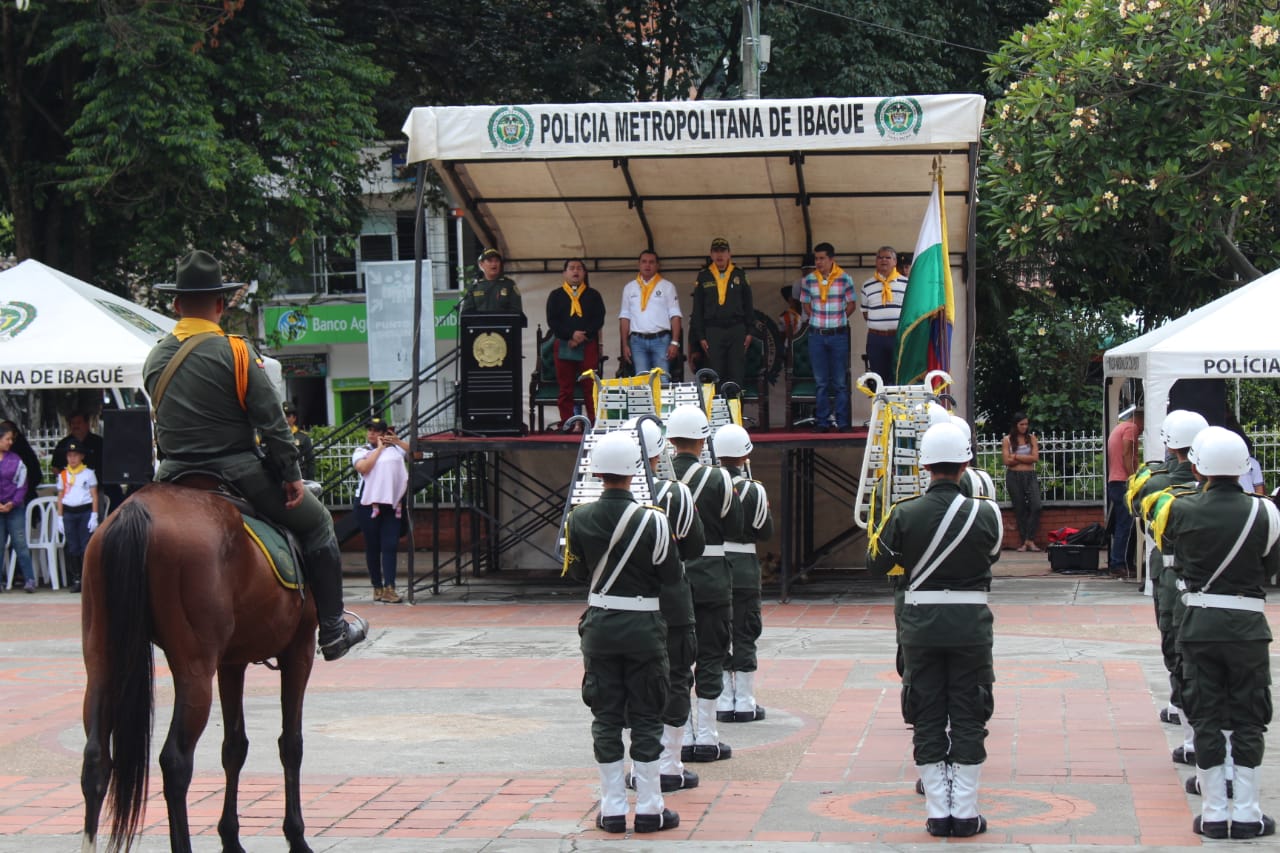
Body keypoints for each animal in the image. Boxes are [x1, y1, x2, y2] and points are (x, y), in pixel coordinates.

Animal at [80, 481, 322, 853]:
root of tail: (137, 508)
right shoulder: (300, 649)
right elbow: (291, 743)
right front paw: (296, 836)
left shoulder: (232, 662)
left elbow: (234, 746)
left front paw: (231, 838)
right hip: (195, 669)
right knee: (175, 761)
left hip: (101, 660)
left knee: (95, 757)